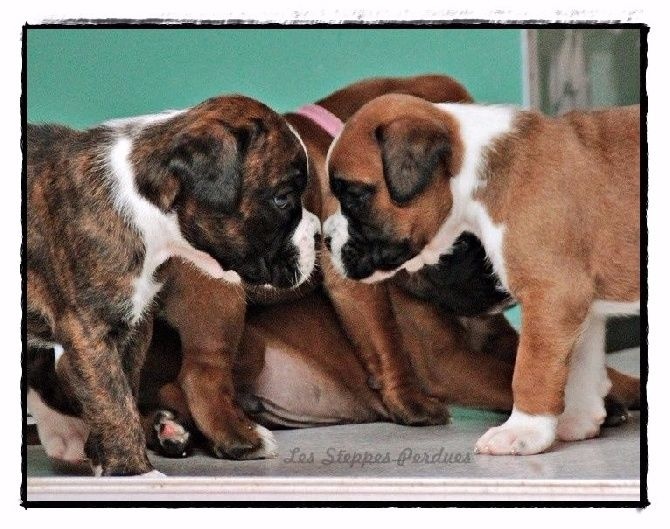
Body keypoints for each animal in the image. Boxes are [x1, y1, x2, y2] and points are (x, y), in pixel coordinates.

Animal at [26, 95, 319, 475]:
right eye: (282, 198)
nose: (319, 233)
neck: (142, 205)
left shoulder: (134, 326)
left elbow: (124, 388)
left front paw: (106, 457)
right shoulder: (89, 328)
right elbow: (112, 399)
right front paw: (134, 472)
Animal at [324, 94, 640, 455]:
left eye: (354, 195)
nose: (326, 239)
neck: (474, 171)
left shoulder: (552, 294)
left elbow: (531, 370)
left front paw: (523, 430)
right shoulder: (578, 306)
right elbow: (580, 368)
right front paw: (577, 420)